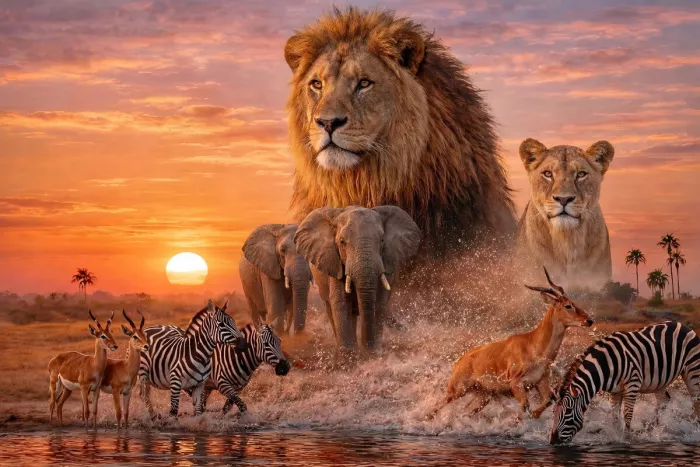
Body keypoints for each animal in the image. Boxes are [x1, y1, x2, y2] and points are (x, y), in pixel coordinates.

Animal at [550, 320, 700, 444]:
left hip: (693, 371)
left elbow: (627, 414)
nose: (553, 441)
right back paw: (649, 432)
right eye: (553, 411)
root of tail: (682, 325)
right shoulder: (615, 391)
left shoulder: (632, 383)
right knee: (664, 401)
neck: (606, 366)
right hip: (660, 380)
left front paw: (627, 438)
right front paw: (616, 437)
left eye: (568, 411)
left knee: (696, 401)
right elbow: (614, 415)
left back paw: (695, 432)